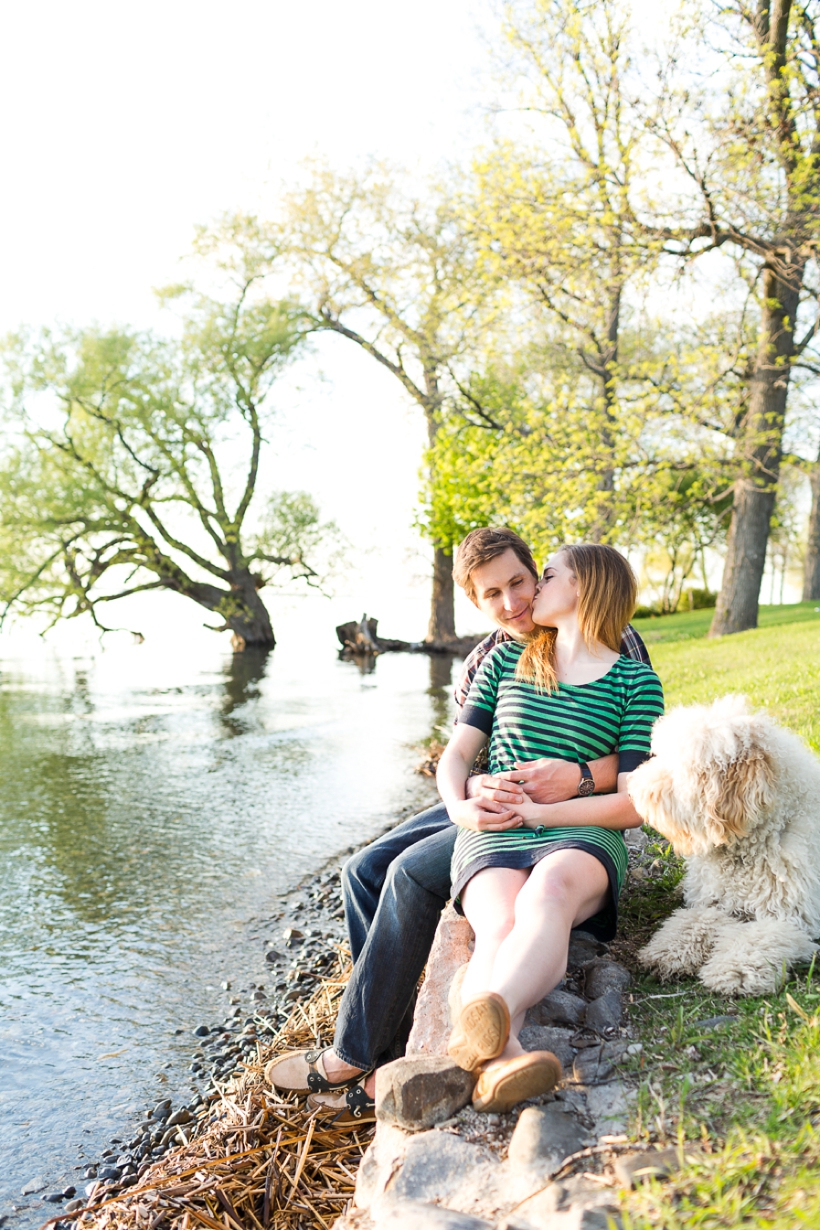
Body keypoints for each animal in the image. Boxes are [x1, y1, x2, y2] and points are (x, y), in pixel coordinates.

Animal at [629, 698, 820, 993]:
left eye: (682, 769)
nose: (633, 787)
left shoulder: (793, 918)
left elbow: (760, 937)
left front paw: (734, 967)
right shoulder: (714, 902)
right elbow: (695, 919)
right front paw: (670, 948)